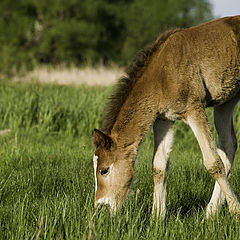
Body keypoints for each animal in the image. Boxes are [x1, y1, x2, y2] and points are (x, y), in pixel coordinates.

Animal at [93, 15, 240, 218]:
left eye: (104, 170)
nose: (100, 207)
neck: (162, 75)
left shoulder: (194, 109)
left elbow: (213, 162)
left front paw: (236, 211)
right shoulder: (164, 119)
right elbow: (159, 166)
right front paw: (157, 217)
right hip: (226, 101)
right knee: (228, 145)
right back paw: (210, 213)